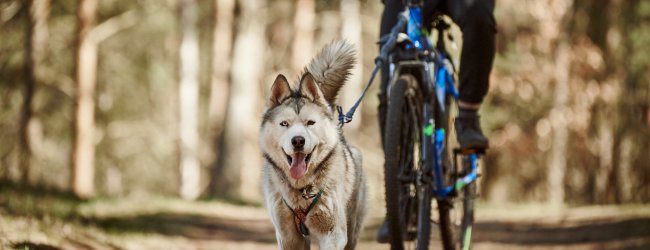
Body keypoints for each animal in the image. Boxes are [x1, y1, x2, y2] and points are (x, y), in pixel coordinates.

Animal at [260, 40, 368, 249]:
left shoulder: (333, 235)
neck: (302, 191)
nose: (298, 140)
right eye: (284, 124)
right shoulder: (288, 237)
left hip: (352, 229)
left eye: (310, 123)